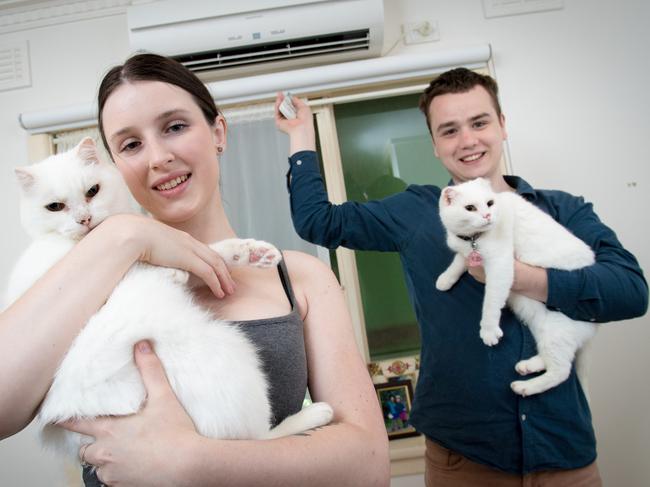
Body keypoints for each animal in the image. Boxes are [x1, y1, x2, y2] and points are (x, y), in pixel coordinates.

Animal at [3, 137, 330, 462]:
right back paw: (314, 414)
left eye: (92, 191)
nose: (84, 219)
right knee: (254, 438)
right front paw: (177, 271)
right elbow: (164, 263)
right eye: (55, 207)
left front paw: (250, 253)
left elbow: (208, 254)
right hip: (228, 352)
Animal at [432, 177, 596, 398]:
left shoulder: (499, 265)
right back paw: (527, 367)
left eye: (490, 203)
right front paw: (445, 279)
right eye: (470, 208)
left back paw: (524, 386)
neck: (473, 239)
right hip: (543, 327)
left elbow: (490, 303)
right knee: (552, 360)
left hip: (556, 333)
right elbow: (458, 262)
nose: (487, 215)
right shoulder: (467, 254)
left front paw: (489, 331)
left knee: (561, 371)